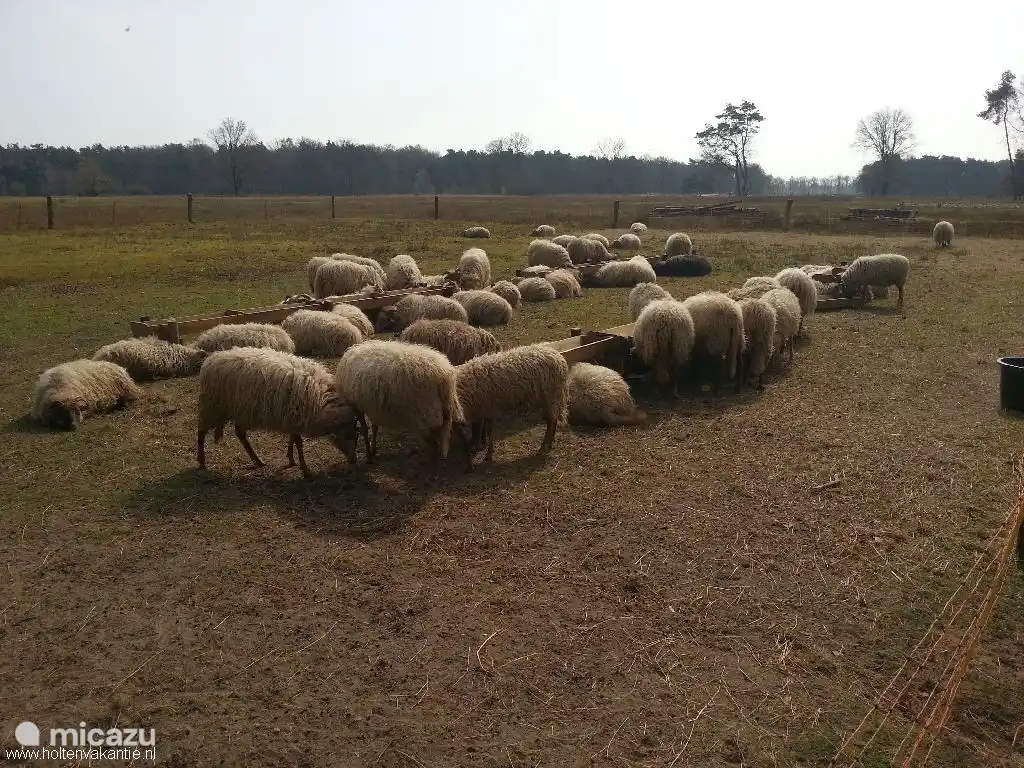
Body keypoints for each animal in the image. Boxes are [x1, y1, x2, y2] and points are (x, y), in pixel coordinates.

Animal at [196, 347, 358, 476]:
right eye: (347, 436)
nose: (354, 461)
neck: (321, 398)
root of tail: (212, 359)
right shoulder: (294, 416)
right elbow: (299, 443)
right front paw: (305, 469)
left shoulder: (292, 417)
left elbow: (293, 439)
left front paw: (291, 459)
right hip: (211, 407)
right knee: (201, 432)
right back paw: (202, 461)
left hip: (241, 410)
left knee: (240, 434)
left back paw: (258, 460)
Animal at [334, 339, 465, 470]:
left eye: (341, 441)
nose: (352, 461)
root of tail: (443, 374)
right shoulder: (373, 407)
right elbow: (374, 427)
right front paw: (373, 450)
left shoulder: (356, 406)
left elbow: (365, 430)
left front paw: (369, 456)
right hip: (450, 406)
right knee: (459, 428)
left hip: (426, 416)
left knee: (434, 446)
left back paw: (433, 469)